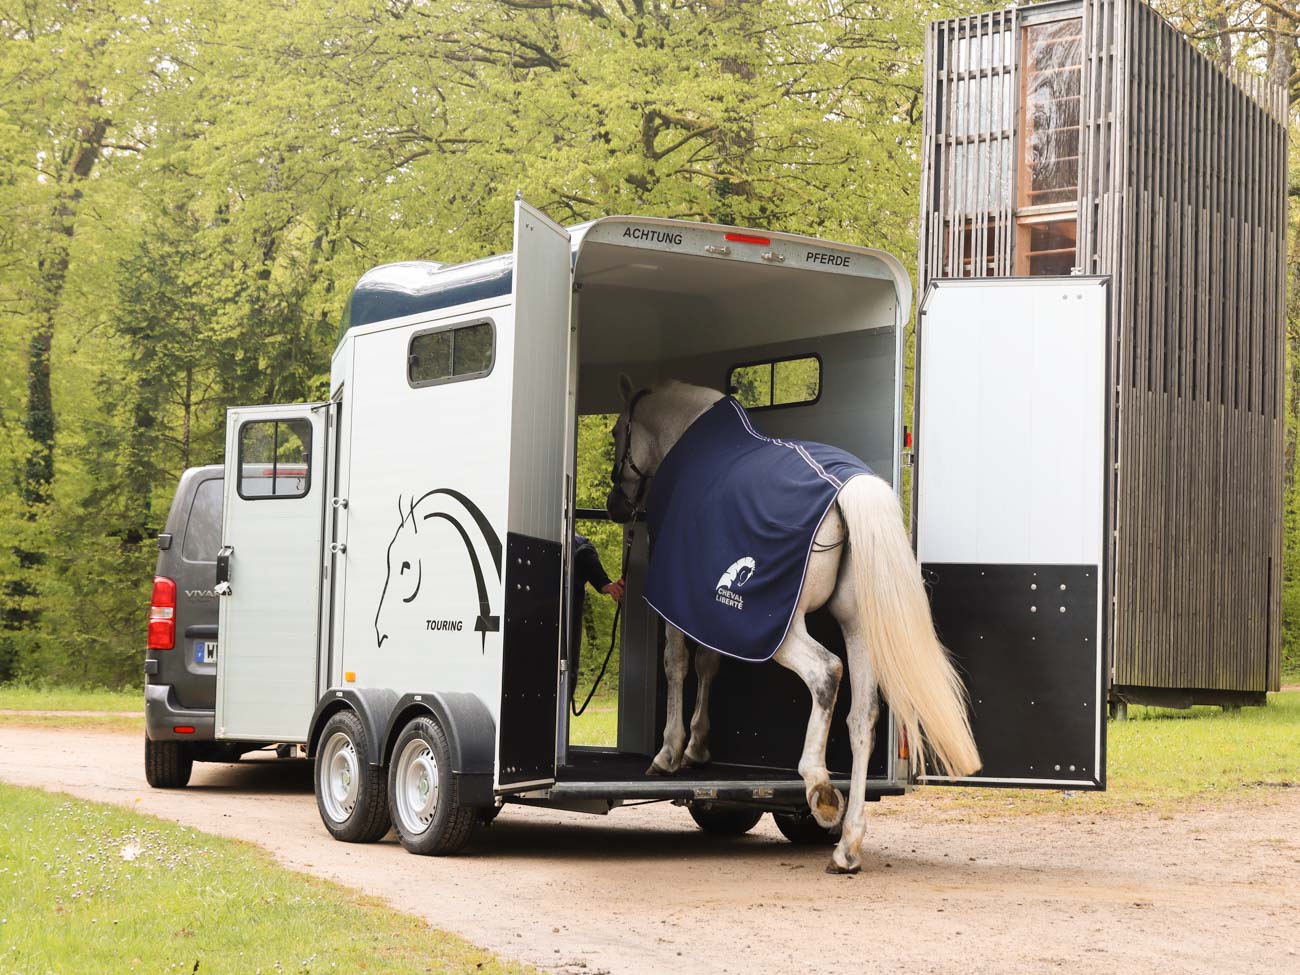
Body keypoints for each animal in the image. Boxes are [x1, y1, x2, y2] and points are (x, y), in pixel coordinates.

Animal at [605, 377, 981, 874]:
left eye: (616, 432)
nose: (614, 506)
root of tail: (847, 489)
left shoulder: (684, 604)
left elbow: (677, 664)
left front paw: (670, 752)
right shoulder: (715, 615)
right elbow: (708, 663)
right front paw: (699, 746)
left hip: (783, 629)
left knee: (826, 671)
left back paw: (820, 788)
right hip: (856, 627)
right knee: (863, 715)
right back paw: (847, 846)